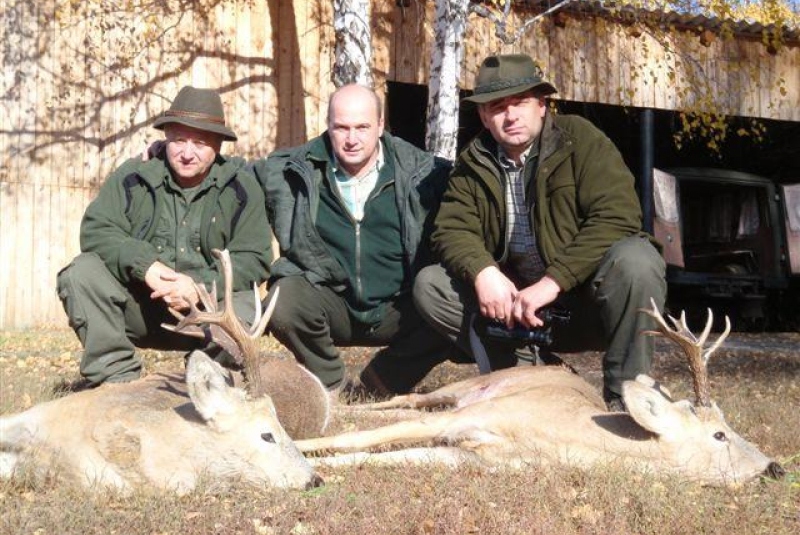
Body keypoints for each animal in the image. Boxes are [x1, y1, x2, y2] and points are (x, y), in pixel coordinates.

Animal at [296, 300, 784, 488]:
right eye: (720, 434)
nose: (775, 466)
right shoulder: (471, 417)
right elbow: (351, 440)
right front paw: (294, 451)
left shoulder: (472, 457)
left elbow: (375, 456)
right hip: (466, 389)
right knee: (403, 402)